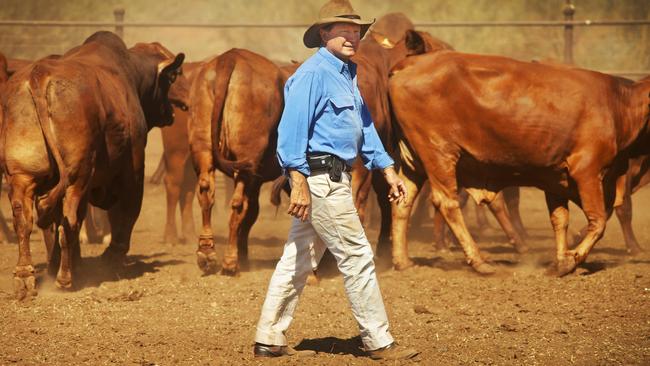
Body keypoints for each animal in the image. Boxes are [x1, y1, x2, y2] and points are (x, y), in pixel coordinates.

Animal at [0, 32, 182, 300]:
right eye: (171, 78)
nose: (171, 113)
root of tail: (39, 75)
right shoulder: (133, 172)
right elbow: (125, 214)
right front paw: (110, 258)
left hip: (23, 175)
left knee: (26, 221)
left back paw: (26, 277)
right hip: (77, 177)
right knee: (69, 222)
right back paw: (65, 279)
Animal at [187, 48, 284, 274]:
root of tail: (230, 58)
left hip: (203, 146)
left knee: (206, 191)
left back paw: (207, 252)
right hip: (246, 160)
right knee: (239, 205)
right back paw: (230, 260)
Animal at [388, 49, 648, 278]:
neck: (618, 104)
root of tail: (409, 63)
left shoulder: (555, 177)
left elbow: (560, 220)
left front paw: (560, 260)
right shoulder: (587, 171)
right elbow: (598, 221)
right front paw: (571, 261)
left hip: (415, 161)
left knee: (403, 202)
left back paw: (403, 261)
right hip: (439, 153)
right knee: (447, 202)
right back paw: (480, 261)